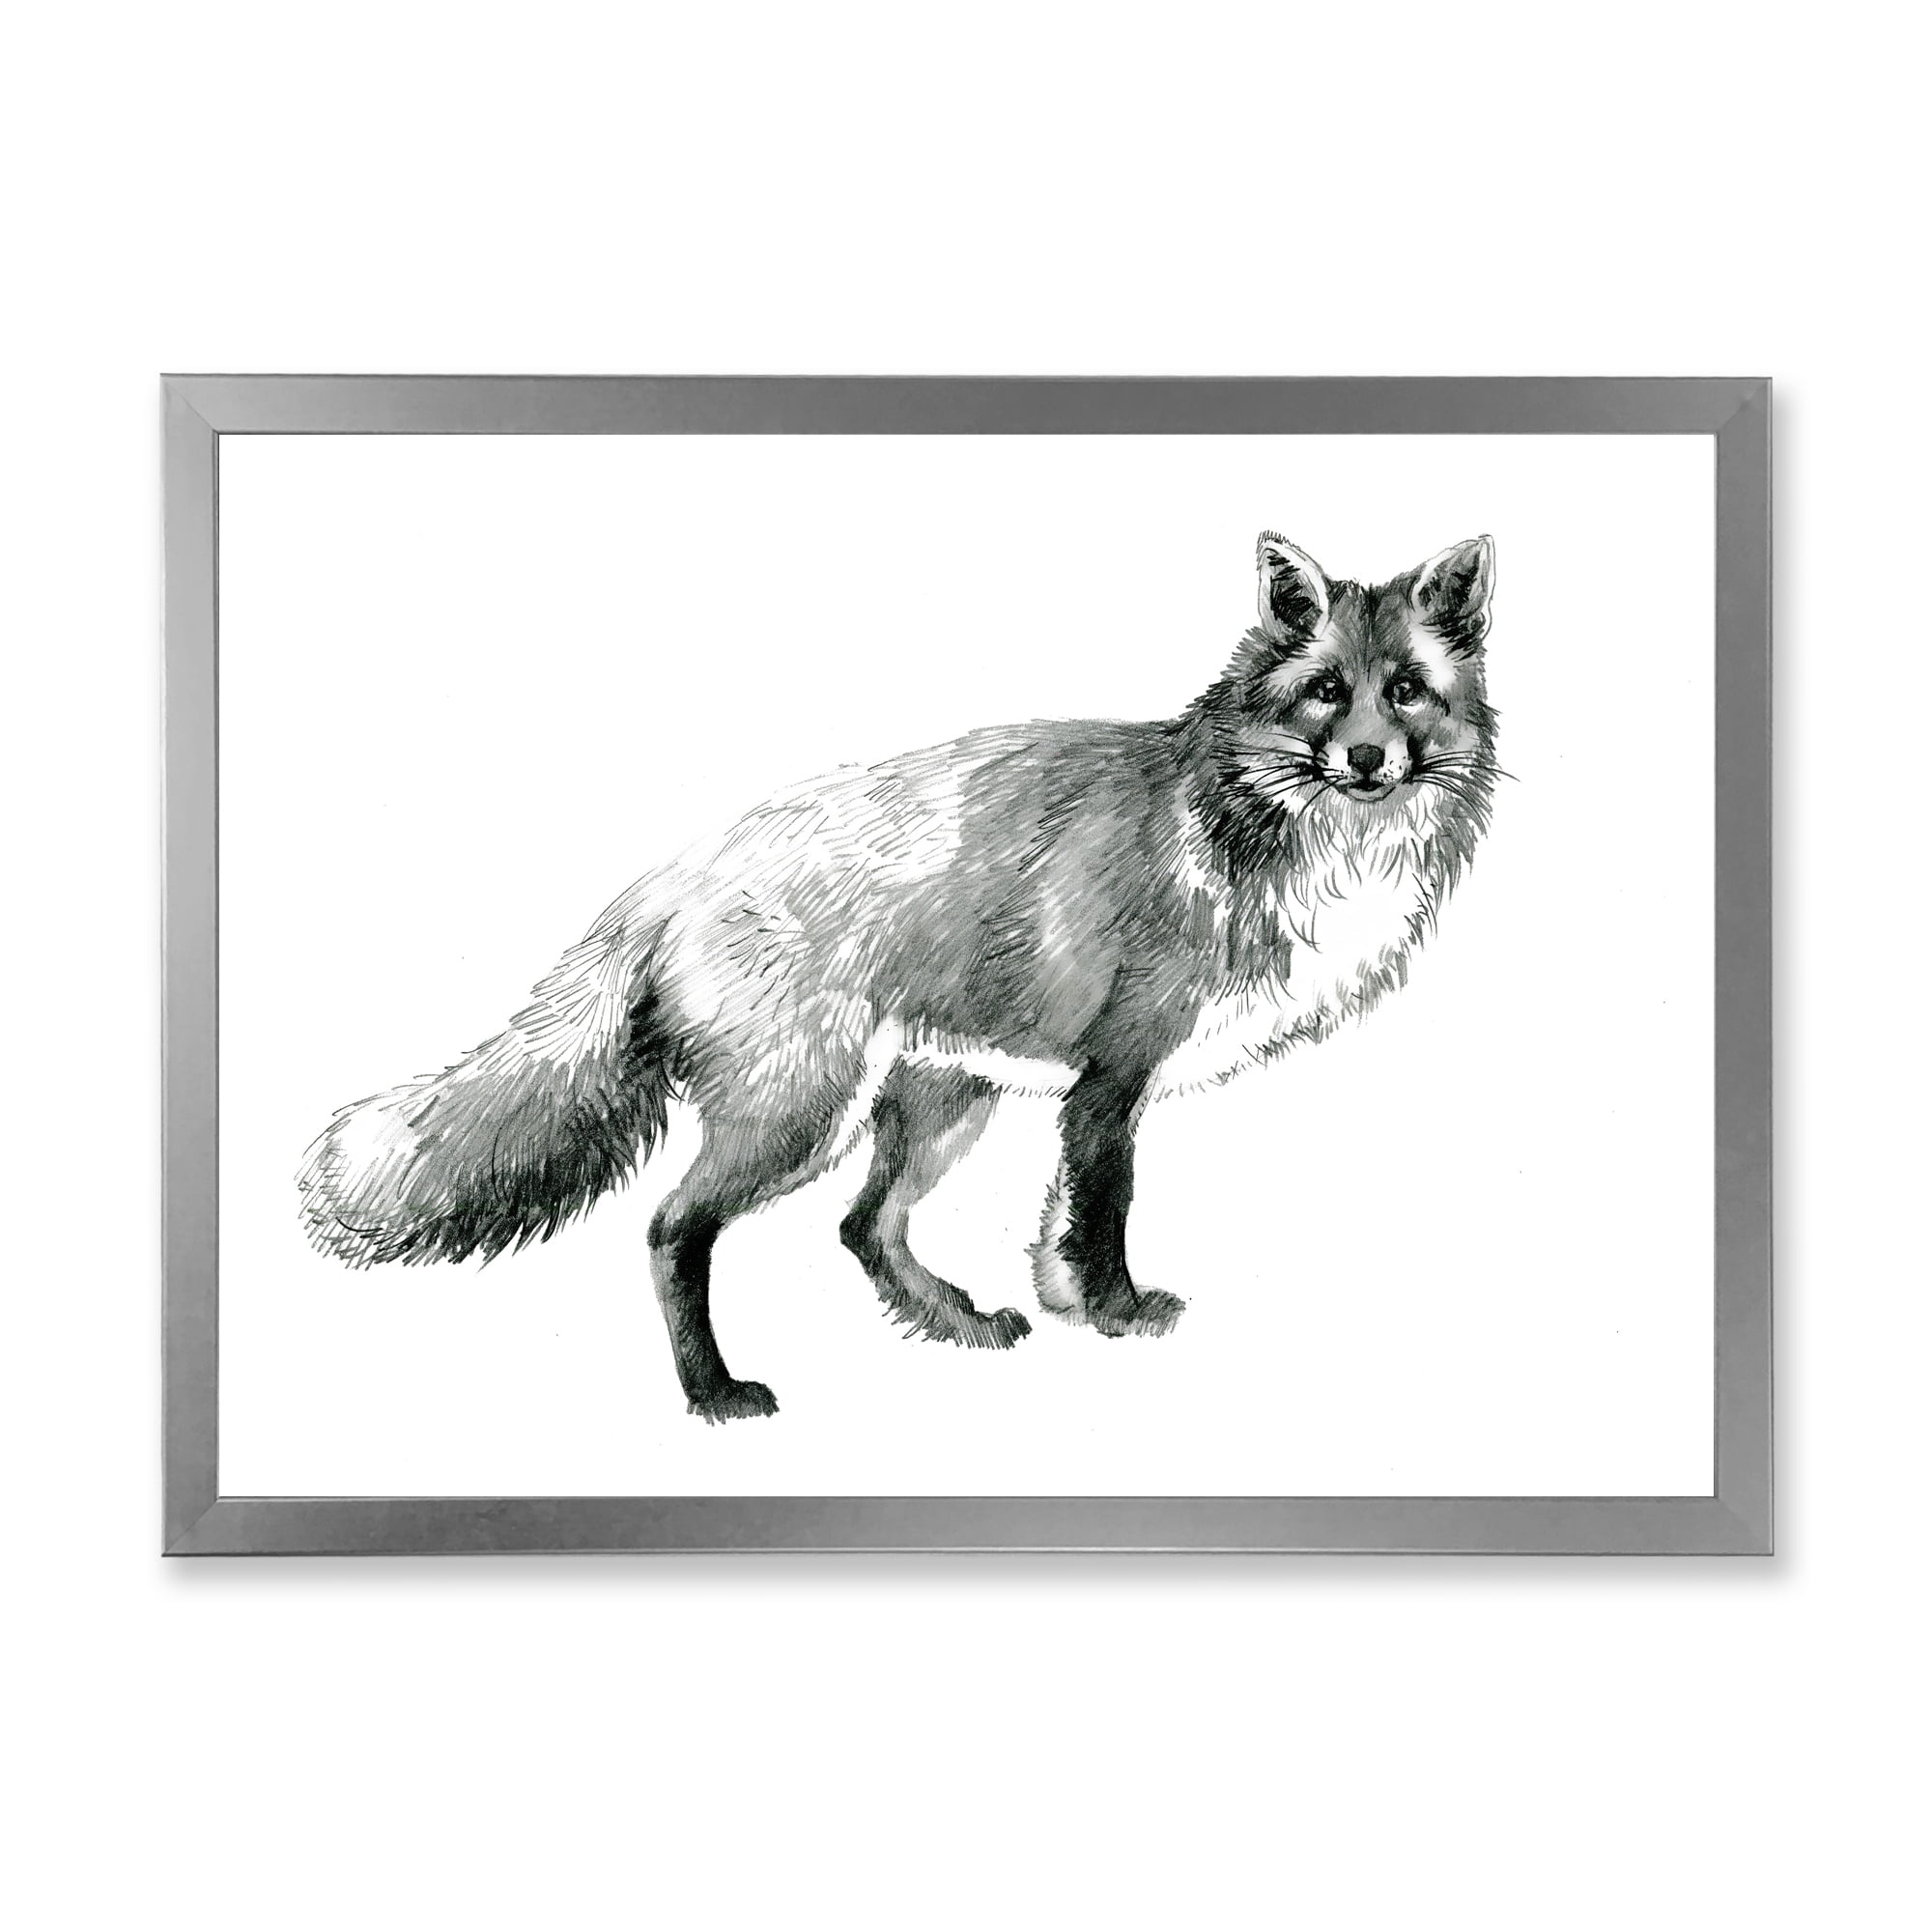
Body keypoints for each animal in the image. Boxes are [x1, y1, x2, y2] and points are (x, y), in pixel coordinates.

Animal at [298, 532, 1499, 1421]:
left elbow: (1056, 1230)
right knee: (672, 1227)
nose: (1367, 760)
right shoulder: (1113, 1077)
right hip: (800, 1114)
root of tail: (672, 874)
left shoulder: (1077, 1095)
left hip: (936, 1102)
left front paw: (1067, 1310)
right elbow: (1102, 1217)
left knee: (863, 1228)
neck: (1265, 834)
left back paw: (956, 1324)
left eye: (1406, 690)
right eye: (1324, 691)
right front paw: (1117, 1315)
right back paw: (714, 1393)